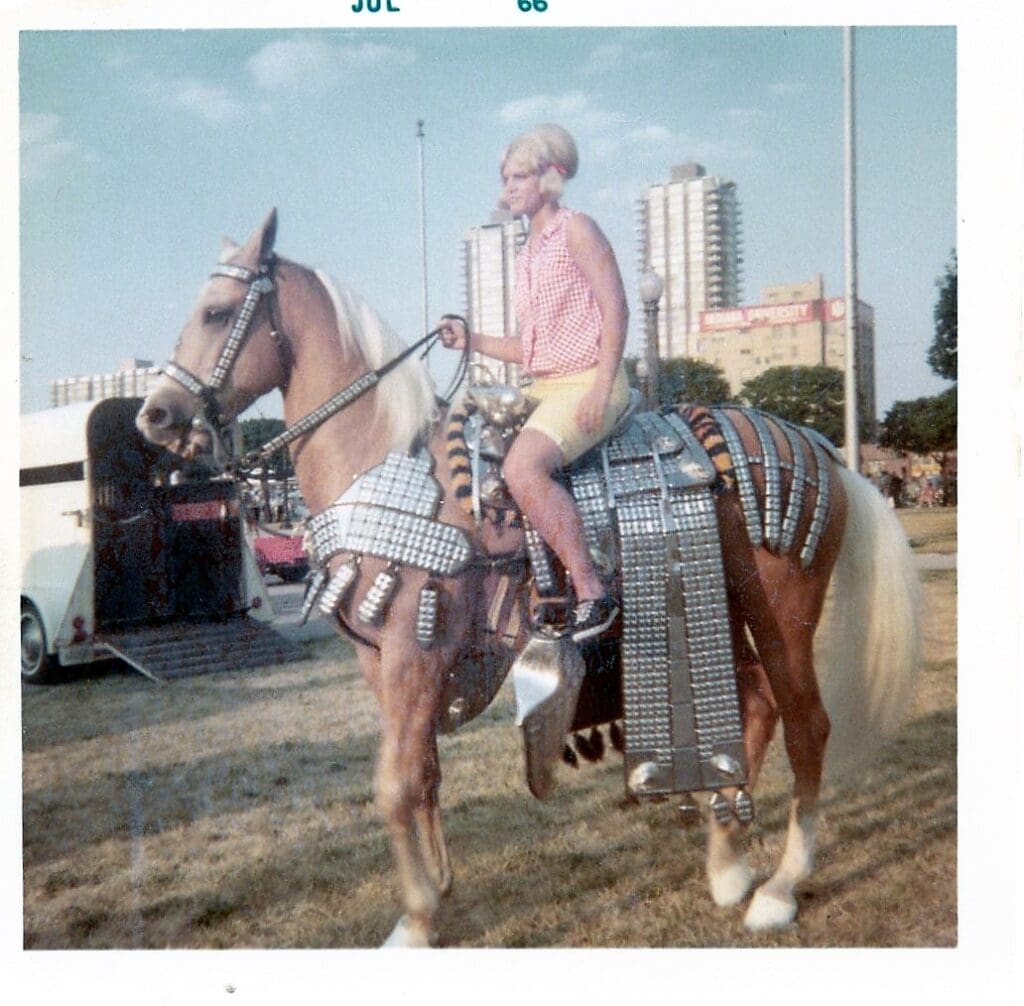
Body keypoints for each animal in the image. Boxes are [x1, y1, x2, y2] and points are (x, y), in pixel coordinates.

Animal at [134, 211, 921, 946]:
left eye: (215, 312)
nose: (155, 415)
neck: (384, 459)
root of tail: (825, 448)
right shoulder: (385, 664)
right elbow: (421, 774)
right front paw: (438, 892)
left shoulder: (414, 655)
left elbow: (394, 786)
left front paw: (414, 920)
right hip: (718, 606)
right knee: (756, 704)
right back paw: (726, 860)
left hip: (779, 614)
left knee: (807, 726)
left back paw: (779, 889)